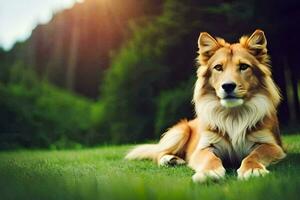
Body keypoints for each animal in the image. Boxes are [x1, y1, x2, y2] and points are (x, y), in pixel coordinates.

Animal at [125, 29, 286, 183]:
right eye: (218, 67)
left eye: (244, 66)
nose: (228, 86)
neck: (233, 114)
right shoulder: (205, 147)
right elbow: (210, 158)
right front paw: (209, 172)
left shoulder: (272, 146)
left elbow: (254, 155)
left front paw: (253, 170)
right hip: (180, 131)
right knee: (158, 153)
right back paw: (170, 159)